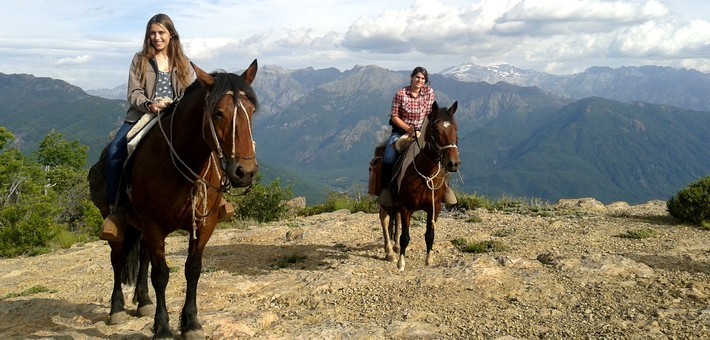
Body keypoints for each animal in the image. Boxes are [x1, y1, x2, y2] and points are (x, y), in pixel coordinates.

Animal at [86, 59, 258, 338]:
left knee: (143, 256)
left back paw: (144, 301)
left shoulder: (204, 224)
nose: (245, 172)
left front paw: (191, 323)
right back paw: (117, 308)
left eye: (251, 111)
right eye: (218, 113)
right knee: (118, 259)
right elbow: (161, 274)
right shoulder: (154, 225)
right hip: (119, 224)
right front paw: (163, 327)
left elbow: (192, 269)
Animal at [378, 100, 462, 270]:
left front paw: (429, 260)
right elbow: (405, 236)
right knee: (384, 220)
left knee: (395, 219)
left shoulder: (435, 207)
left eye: (455, 128)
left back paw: (395, 247)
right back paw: (389, 252)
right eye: (435, 130)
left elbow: (430, 235)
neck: (426, 174)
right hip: (384, 202)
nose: (453, 163)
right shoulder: (406, 207)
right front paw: (401, 263)